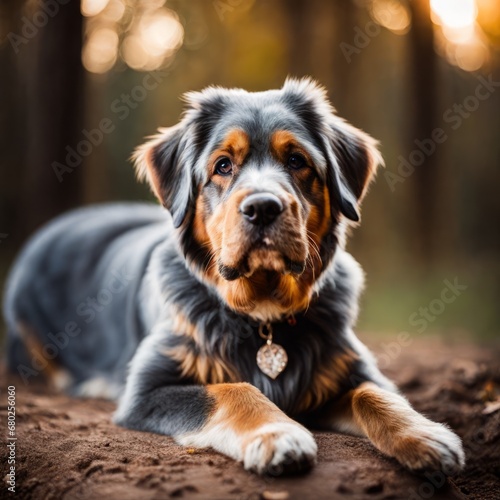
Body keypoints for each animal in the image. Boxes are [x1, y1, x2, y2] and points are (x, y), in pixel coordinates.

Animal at [3, 78, 464, 476]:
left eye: (296, 160)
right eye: (223, 165)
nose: (262, 207)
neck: (263, 314)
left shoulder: (350, 366)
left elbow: (377, 393)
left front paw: (424, 435)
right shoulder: (147, 390)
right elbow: (235, 388)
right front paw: (277, 434)